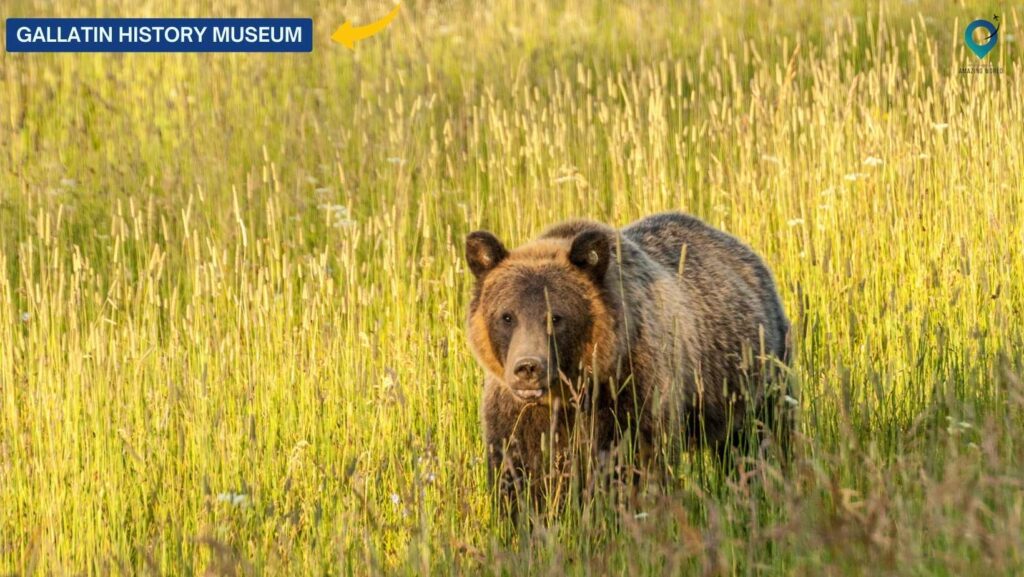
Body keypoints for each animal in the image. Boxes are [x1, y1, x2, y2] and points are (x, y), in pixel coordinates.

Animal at [464, 213, 790, 510]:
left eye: (556, 317)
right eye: (507, 316)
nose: (528, 367)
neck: (572, 392)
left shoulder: (632, 390)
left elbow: (636, 464)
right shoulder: (518, 414)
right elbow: (520, 474)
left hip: (755, 376)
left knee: (761, 439)